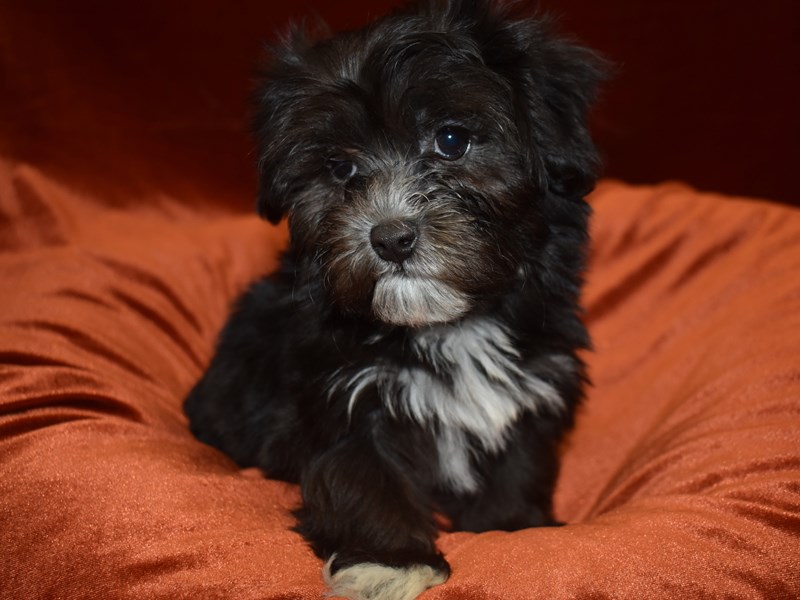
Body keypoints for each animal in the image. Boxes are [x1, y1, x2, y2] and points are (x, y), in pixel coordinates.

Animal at [184, 2, 604, 596]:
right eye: (340, 167)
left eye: (452, 140)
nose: (391, 237)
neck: (449, 326)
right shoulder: (345, 396)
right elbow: (365, 479)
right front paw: (390, 563)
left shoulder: (533, 383)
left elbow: (517, 469)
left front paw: (512, 527)